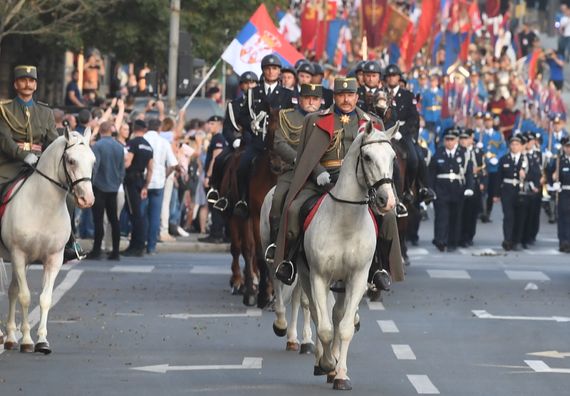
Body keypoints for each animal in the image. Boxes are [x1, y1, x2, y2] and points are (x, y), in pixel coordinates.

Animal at [0, 129, 94, 352]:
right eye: (71, 160)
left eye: (93, 161)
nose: (87, 199)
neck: (42, 206)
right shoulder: (19, 255)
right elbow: (26, 297)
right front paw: (27, 340)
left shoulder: (53, 259)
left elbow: (45, 299)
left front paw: (42, 340)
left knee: (12, 290)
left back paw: (10, 336)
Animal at [298, 121, 394, 390]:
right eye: (368, 157)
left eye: (393, 156)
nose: (387, 200)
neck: (345, 221)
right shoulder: (319, 277)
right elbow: (324, 328)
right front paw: (328, 364)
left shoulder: (358, 278)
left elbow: (345, 327)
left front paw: (340, 374)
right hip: (306, 276)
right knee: (317, 313)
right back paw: (321, 360)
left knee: (337, 315)